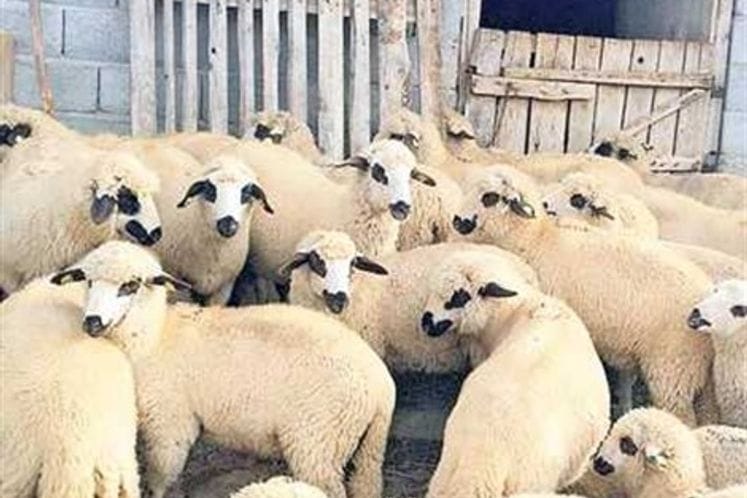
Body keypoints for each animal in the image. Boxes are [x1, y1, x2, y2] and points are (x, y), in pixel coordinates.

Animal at [50, 240, 396, 498]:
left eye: (130, 285)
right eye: (88, 281)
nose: (92, 322)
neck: (153, 339)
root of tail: (380, 385)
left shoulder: (170, 426)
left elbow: (160, 480)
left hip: (318, 442)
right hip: (366, 448)